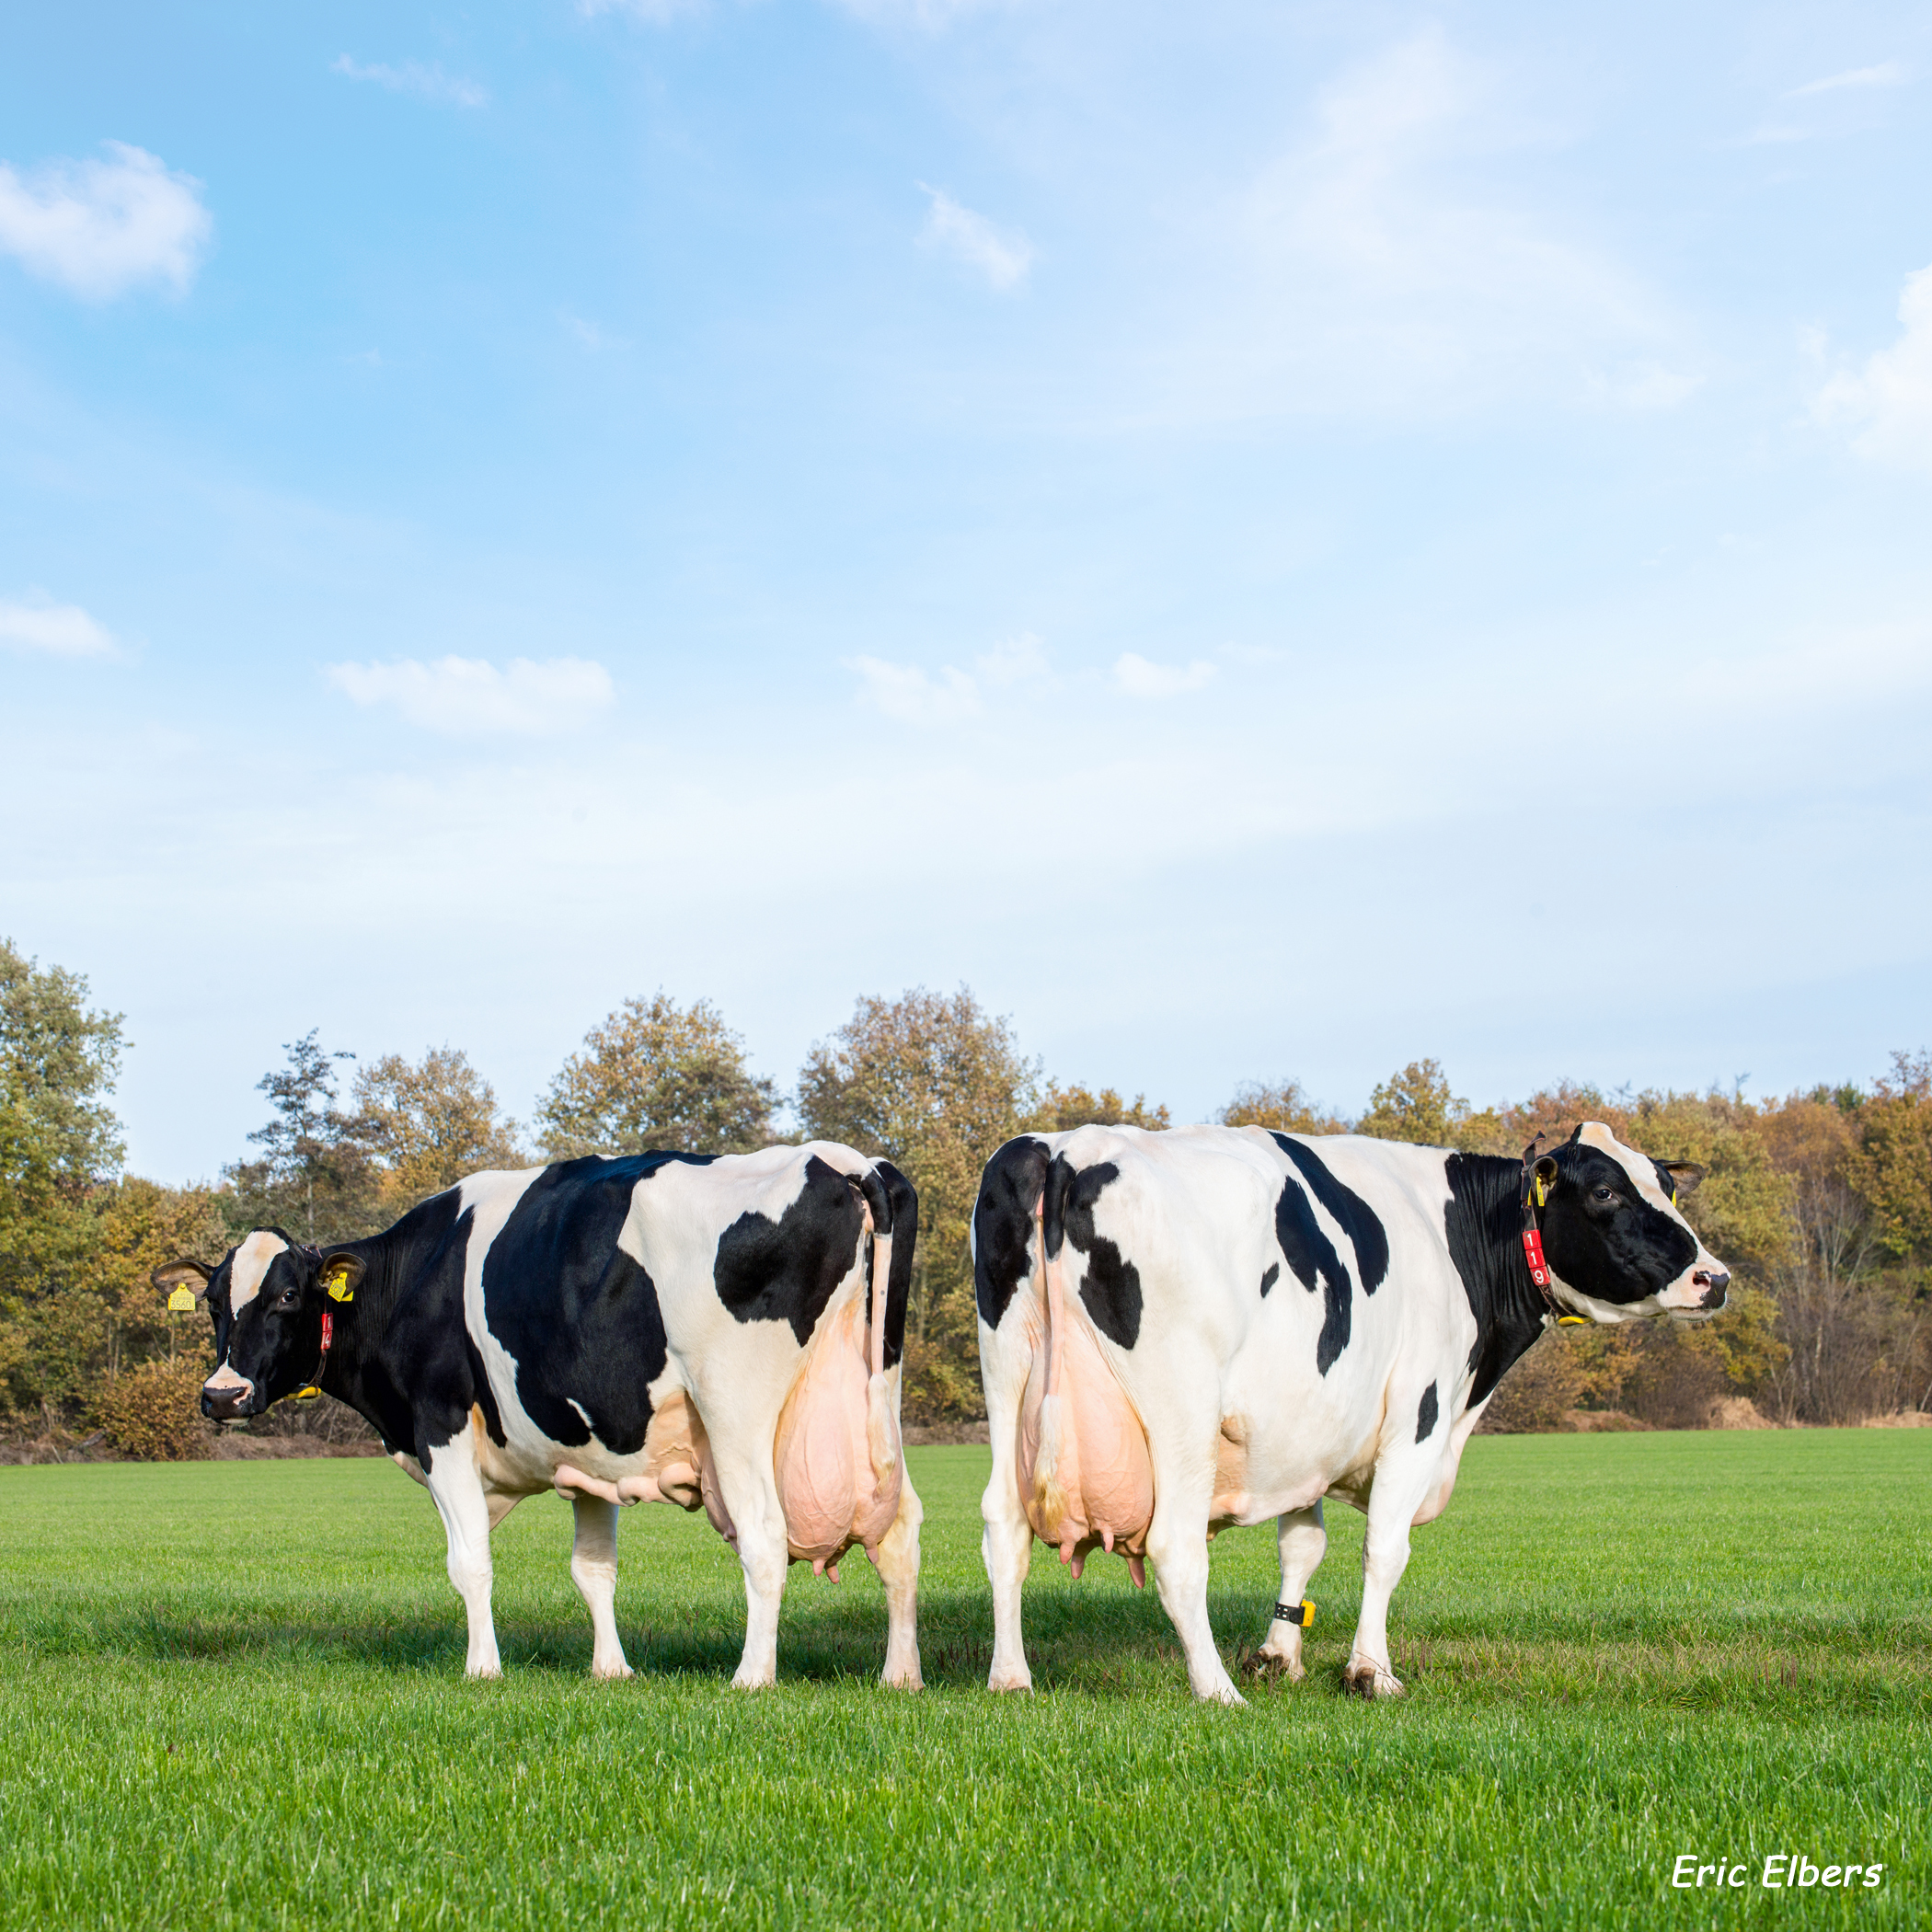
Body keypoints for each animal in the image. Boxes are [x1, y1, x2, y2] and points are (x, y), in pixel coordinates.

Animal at [155, 1144, 923, 1692]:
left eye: (287, 1295)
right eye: (216, 1304)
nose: (222, 1395)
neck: (409, 1280)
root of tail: (842, 1160)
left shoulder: (440, 1428)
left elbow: (470, 1562)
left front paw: (482, 1669)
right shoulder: (587, 1453)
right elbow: (594, 1570)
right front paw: (611, 1671)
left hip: (732, 1407)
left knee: (764, 1535)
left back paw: (751, 1677)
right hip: (875, 1390)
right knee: (900, 1531)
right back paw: (899, 1675)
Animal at [973, 1121, 1731, 1708]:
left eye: (1667, 1186)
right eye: (1604, 1191)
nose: (1714, 1277)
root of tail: (1064, 1147)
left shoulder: (1301, 1432)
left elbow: (1302, 1544)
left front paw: (1279, 1655)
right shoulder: (1419, 1415)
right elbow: (1384, 1550)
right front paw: (1371, 1672)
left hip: (1008, 1384)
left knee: (1004, 1528)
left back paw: (1011, 1678)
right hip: (1179, 1410)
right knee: (1174, 1549)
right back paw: (1217, 1690)